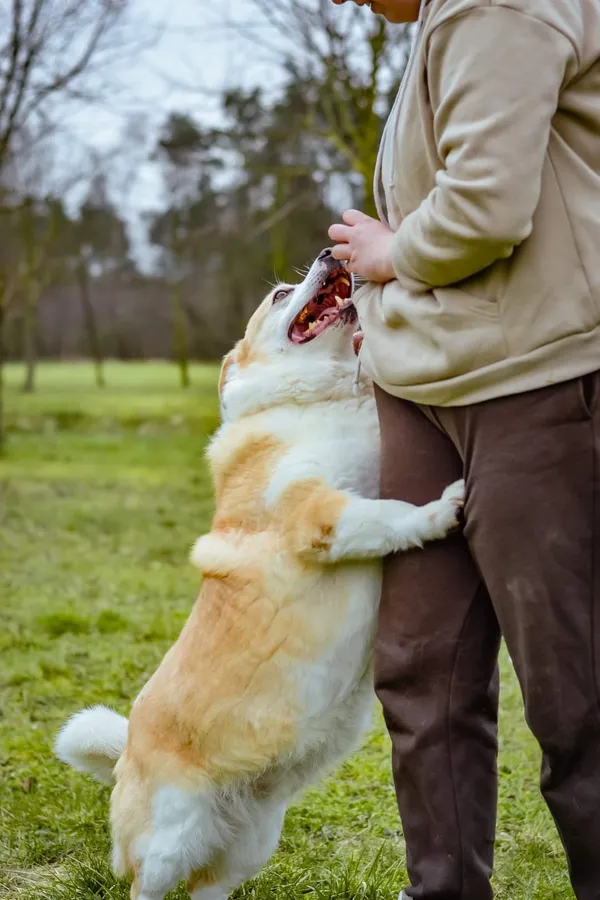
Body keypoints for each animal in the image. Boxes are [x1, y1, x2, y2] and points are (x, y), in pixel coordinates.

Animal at [56, 250, 464, 900]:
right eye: (278, 295)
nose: (330, 252)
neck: (315, 404)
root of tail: (123, 758)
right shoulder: (320, 513)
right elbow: (390, 515)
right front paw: (443, 509)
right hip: (170, 842)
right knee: (146, 885)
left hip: (250, 846)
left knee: (209, 887)